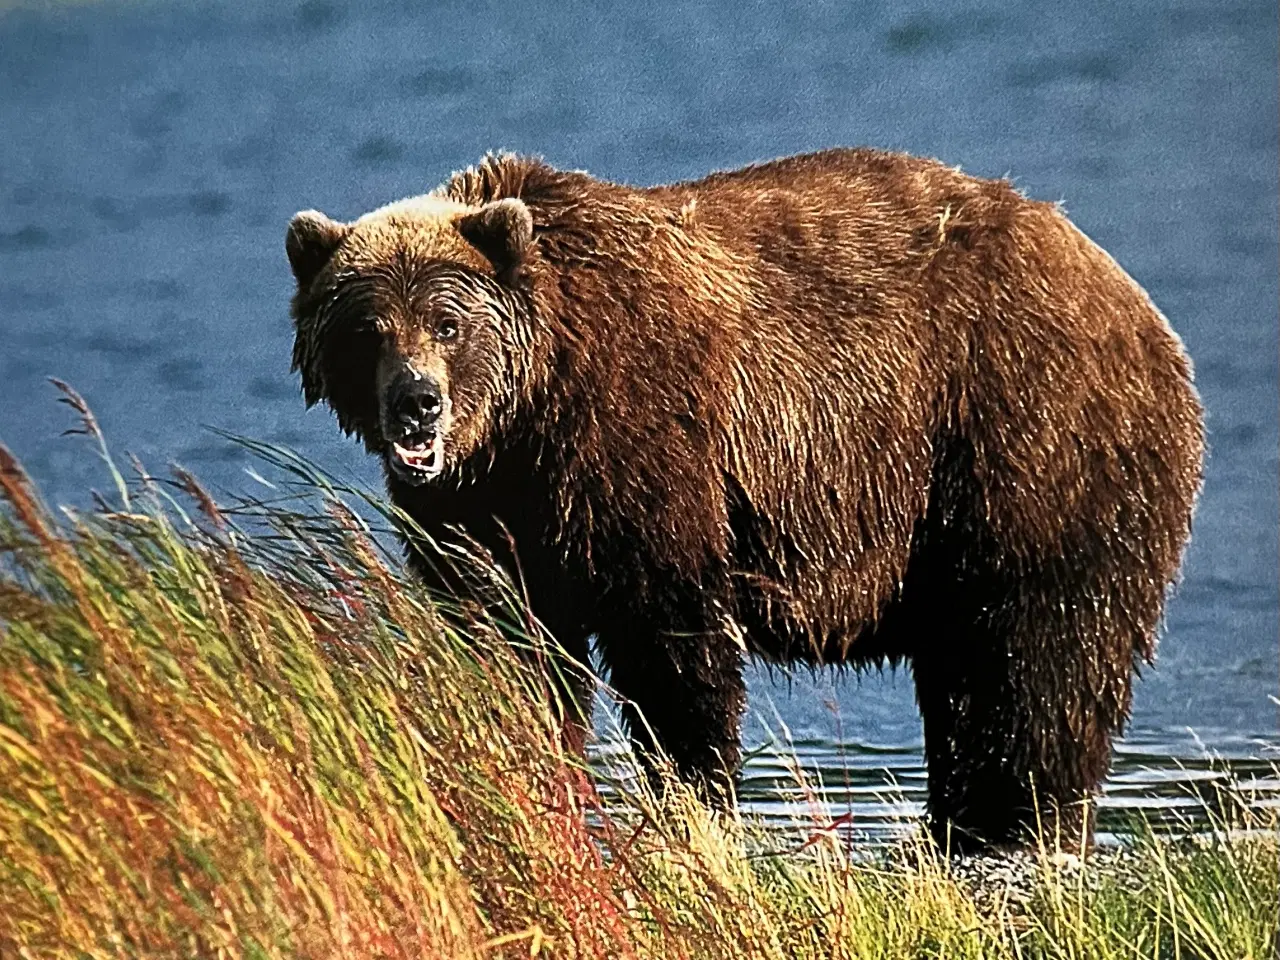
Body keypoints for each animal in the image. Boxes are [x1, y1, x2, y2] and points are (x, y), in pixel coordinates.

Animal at [285, 146, 1203, 855]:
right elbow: (503, 643)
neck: (536, 404)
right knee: (968, 669)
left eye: (447, 321)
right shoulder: (480, 509)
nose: (417, 403)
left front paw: (693, 789)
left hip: (1018, 441)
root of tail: (1134, 300)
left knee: (1037, 653)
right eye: (367, 328)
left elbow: (671, 639)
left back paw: (1014, 820)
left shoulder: (639, 438)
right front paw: (522, 765)